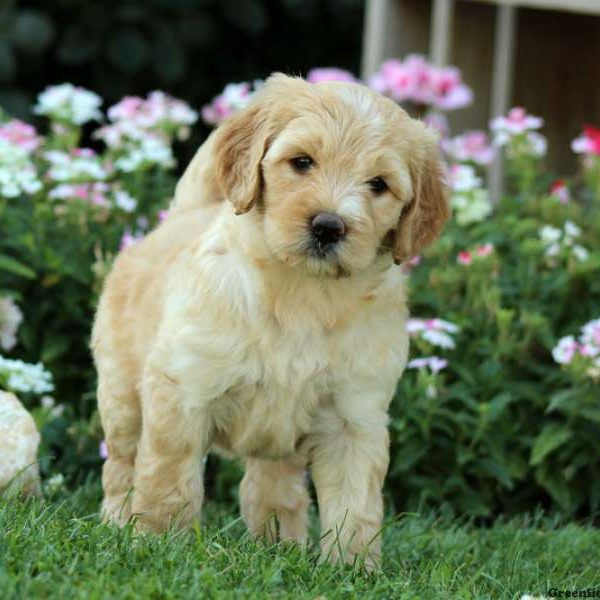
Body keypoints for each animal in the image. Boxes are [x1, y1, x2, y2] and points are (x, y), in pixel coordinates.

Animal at [92, 75, 450, 568]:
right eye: (301, 162)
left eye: (379, 184)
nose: (329, 226)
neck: (304, 293)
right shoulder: (184, 387)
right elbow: (168, 475)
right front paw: (159, 544)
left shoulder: (355, 415)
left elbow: (355, 504)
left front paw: (352, 568)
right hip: (122, 393)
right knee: (122, 464)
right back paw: (116, 525)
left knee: (272, 487)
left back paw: (278, 548)